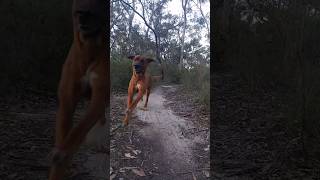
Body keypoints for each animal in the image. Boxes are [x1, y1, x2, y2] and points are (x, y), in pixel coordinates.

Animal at [48, 0, 109, 179]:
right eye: (78, 12)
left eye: (92, 12)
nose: (82, 19)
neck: (90, 49)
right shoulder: (67, 99)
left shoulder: (100, 96)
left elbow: (77, 132)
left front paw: (62, 153)